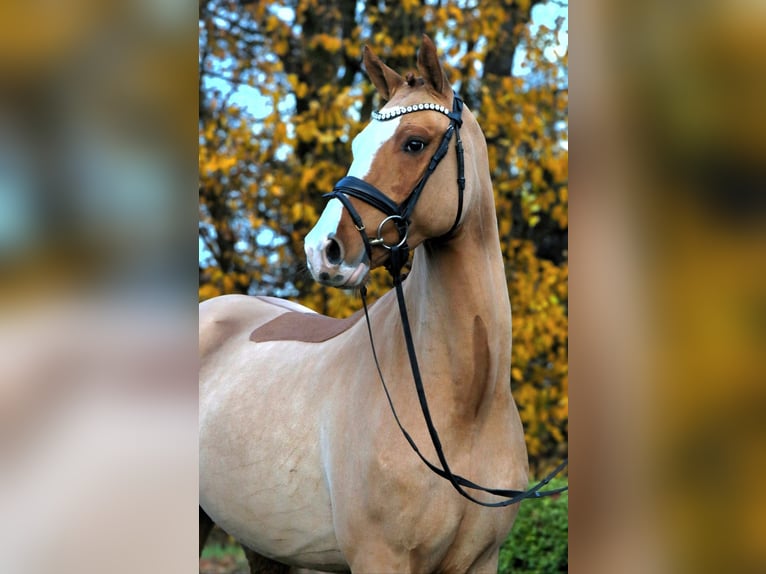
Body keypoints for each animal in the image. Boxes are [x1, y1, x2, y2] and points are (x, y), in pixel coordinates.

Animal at [201, 36, 532, 574]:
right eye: (357, 144)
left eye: (414, 142)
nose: (323, 250)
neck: (466, 406)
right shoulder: (380, 558)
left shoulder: (481, 561)